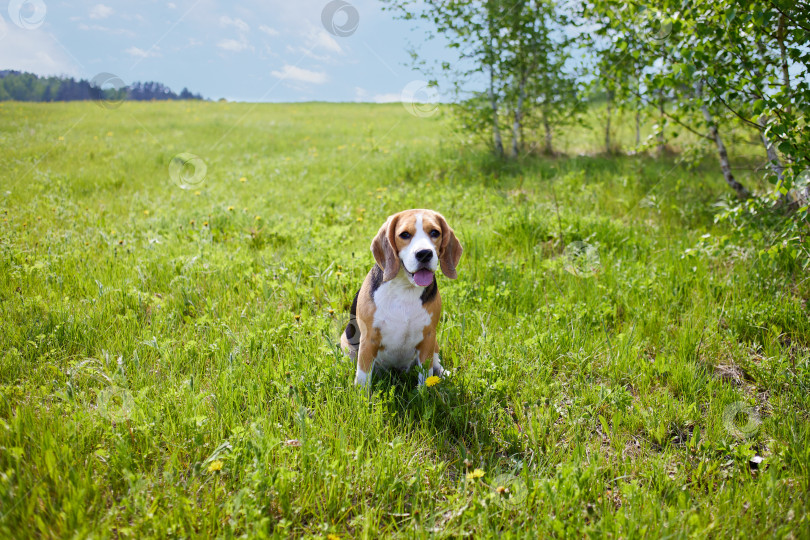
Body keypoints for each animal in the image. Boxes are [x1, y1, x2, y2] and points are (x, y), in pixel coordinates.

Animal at [340, 209, 460, 386]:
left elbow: (426, 376)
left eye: (434, 233)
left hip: (435, 343)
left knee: (436, 363)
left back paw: (443, 374)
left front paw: (425, 391)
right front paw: (361, 394)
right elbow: (363, 376)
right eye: (404, 235)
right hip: (346, 340)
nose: (424, 254)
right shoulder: (368, 339)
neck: (405, 289)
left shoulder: (428, 337)